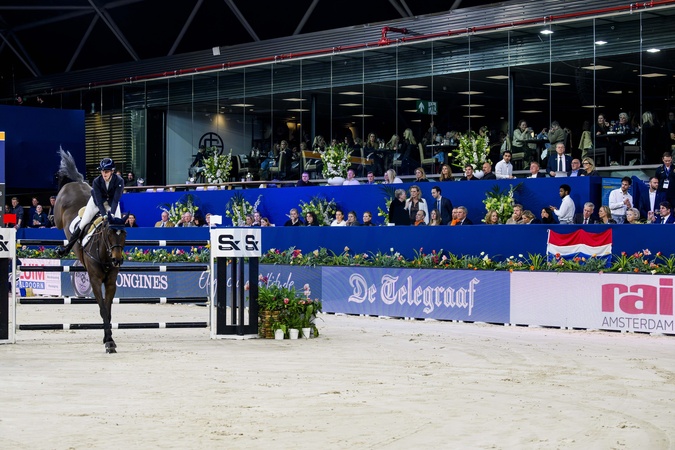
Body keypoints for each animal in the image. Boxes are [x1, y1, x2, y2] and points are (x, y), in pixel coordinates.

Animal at [53, 149, 127, 353]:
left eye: (124, 234)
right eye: (109, 234)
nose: (117, 260)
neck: (104, 254)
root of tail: (76, 183)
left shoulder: (110, 282)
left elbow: (108, 311)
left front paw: (109, 340)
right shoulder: (94, 280)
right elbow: (102, 309)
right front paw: (108, 342)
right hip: (60, 214)